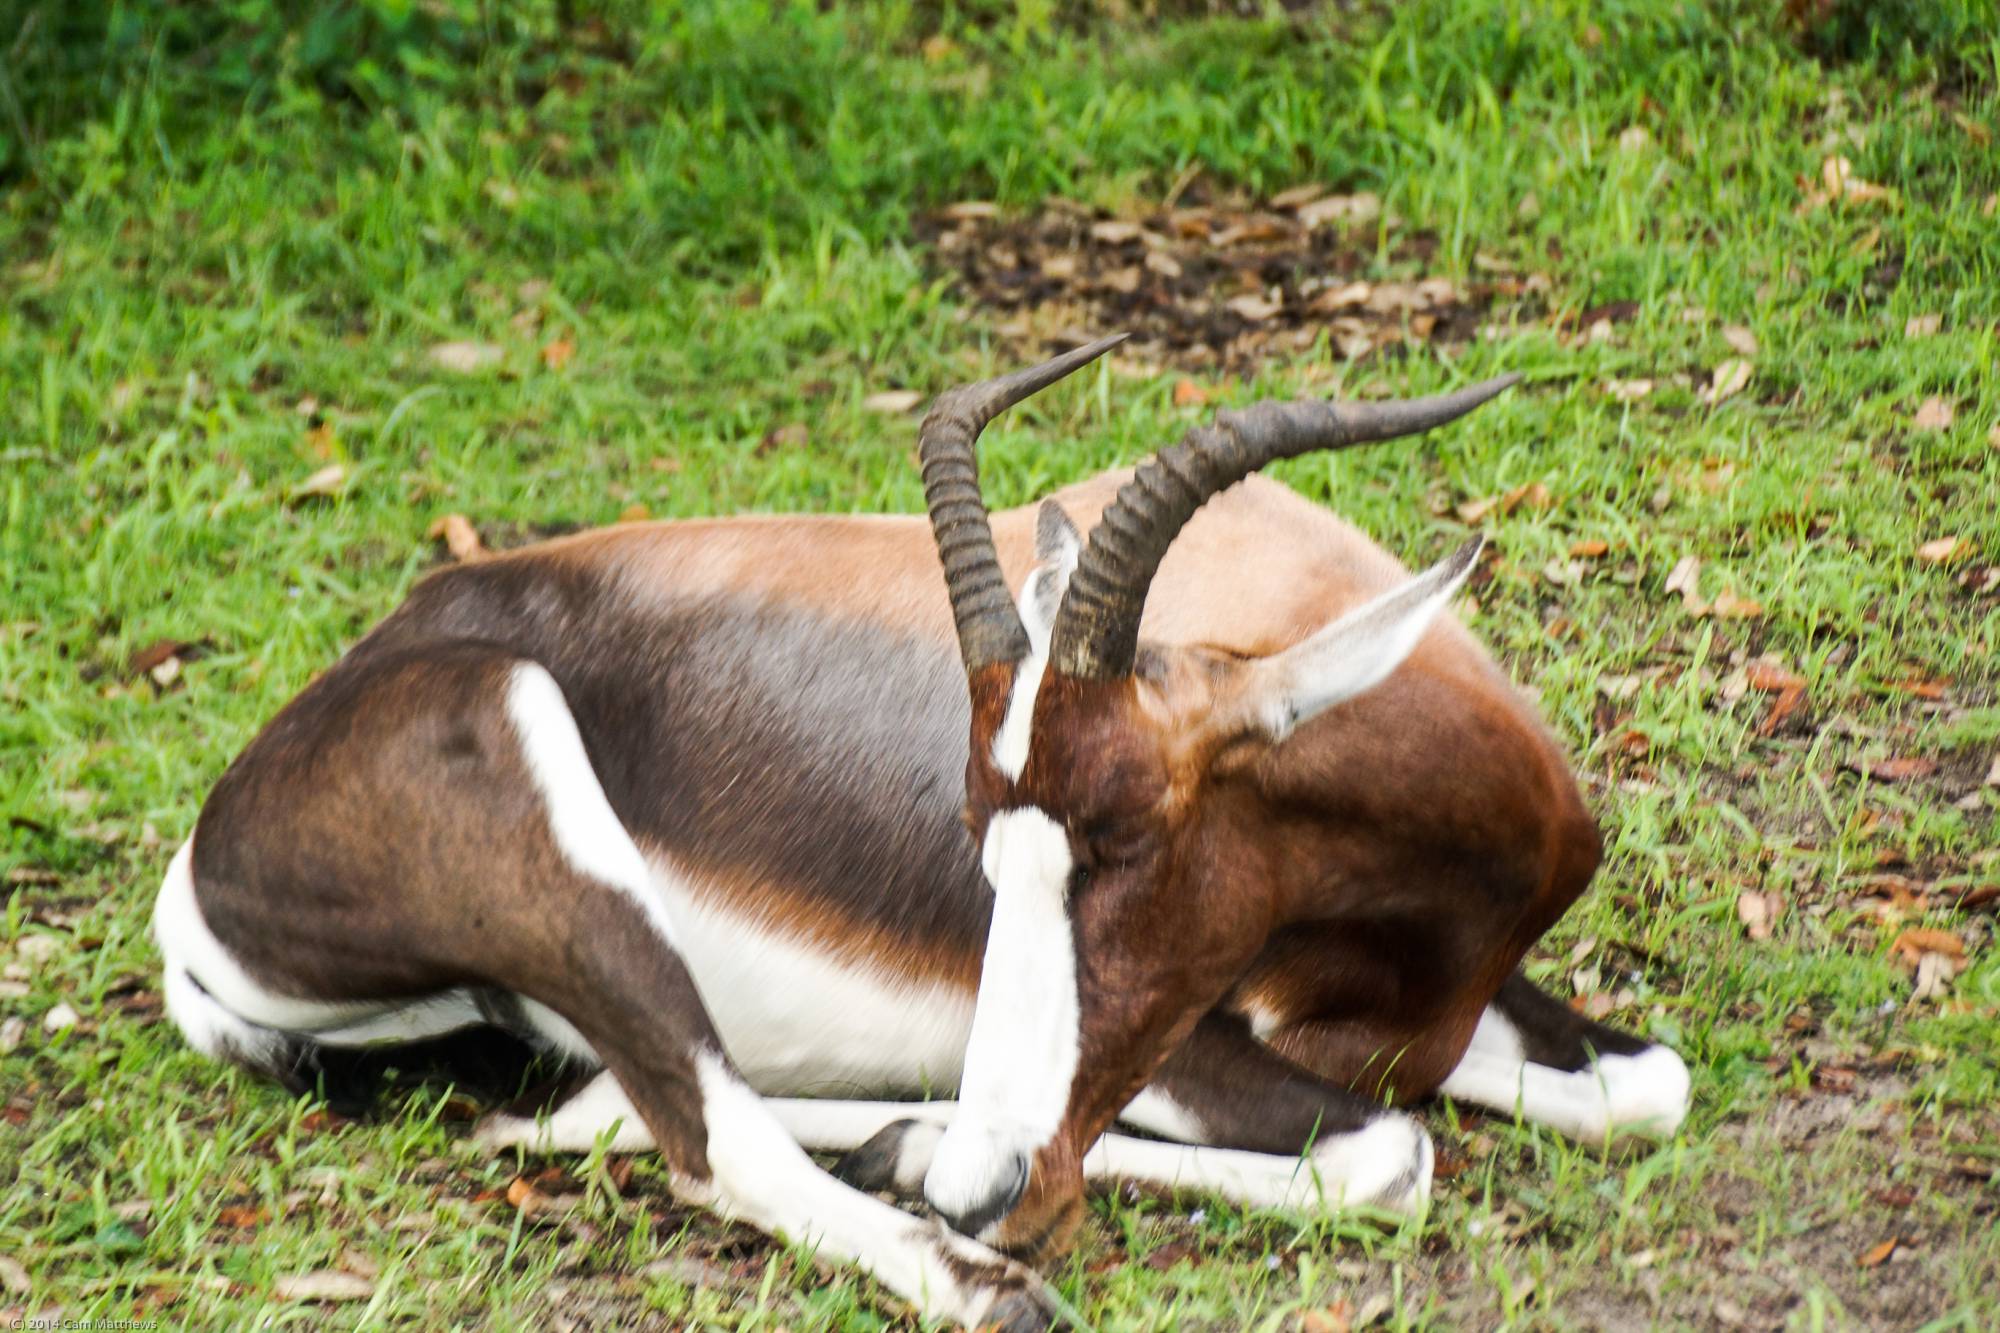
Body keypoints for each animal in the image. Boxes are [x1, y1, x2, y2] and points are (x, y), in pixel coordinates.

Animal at [152, 330, 1688, 1320]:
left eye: (1121, 836)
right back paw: (966, 1257)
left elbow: (1643, 1088)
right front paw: (952, 1184)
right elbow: (1387, 1151)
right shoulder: (1192, 1052)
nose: (974, 1175)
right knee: (701, 1142)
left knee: (584, 1111)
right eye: (979, 844)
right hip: (547, 826)